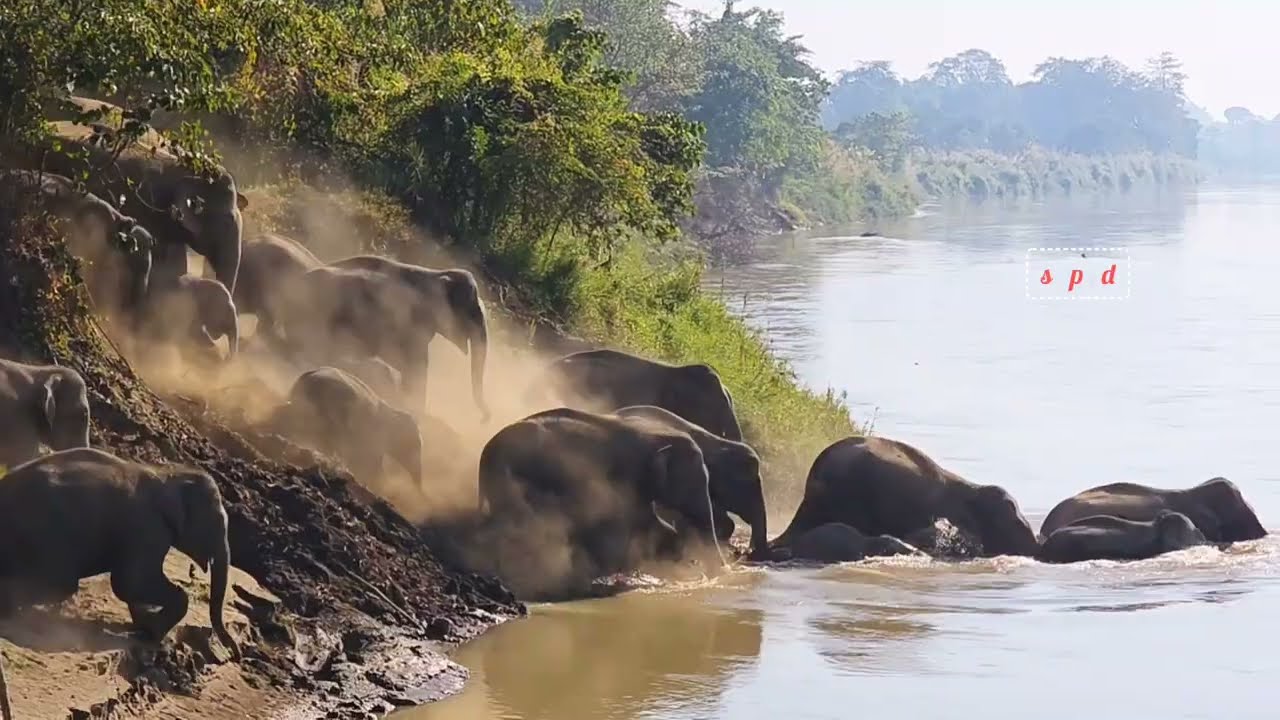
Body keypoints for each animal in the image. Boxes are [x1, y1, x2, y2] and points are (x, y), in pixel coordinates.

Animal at [0, 447, 240, 660]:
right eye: (217, 523)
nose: (235, 654)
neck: (169, 473)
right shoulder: (148, 527)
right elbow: (129, 583)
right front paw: (152, 634)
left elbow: (132, 586)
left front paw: (146, 624)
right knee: (59, 584)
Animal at [477, 407, 725, 590]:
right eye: (692, 485)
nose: (720, 571)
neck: (654, 434)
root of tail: (485, 453)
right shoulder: (619, 479)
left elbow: (649, 521)